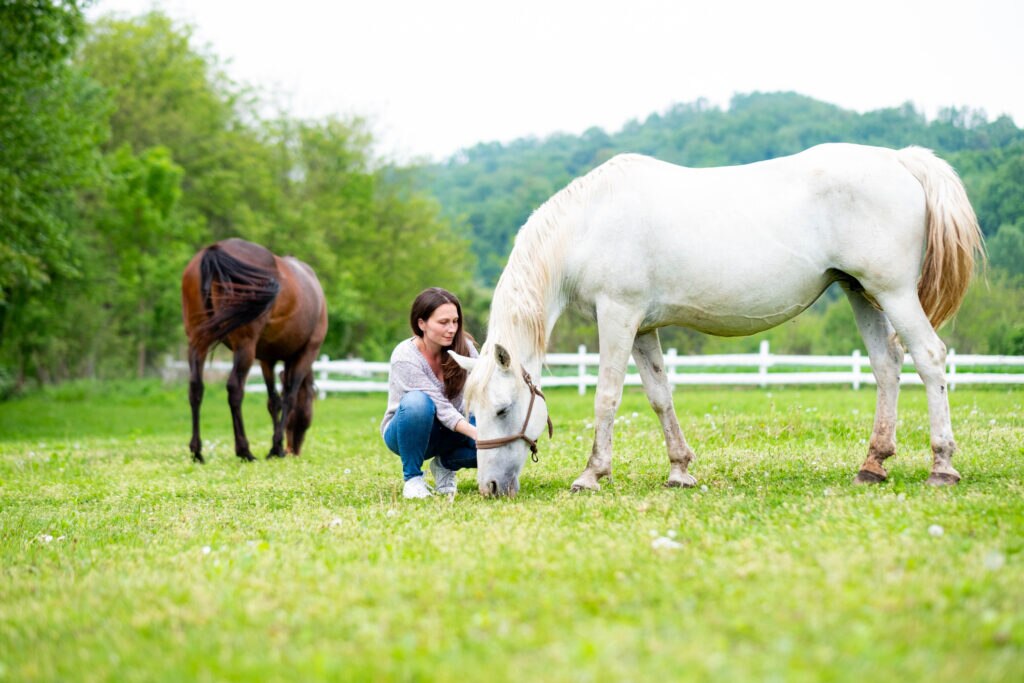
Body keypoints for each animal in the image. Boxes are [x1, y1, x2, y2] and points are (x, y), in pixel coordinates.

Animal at [181, 238, 328, 463]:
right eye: (310, 408)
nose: (293, 450)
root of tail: (215, 249)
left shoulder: (267, 359)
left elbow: (273, 400)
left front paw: (276, 447)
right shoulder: (307, 353)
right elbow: (289, 397)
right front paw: (276, 447)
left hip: (198, 343)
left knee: (196, 388)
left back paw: (197, 451)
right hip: (245, 347)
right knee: (235, 389)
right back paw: (244, 450)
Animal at [450, 144, 984, 497]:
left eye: (502, 409)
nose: (490, 487)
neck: (587, 224)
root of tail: (901, 160)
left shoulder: (618, 316)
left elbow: (607, 396)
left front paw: (591, 474)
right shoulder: (643, 327)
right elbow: (660, 397)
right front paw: (680, 470)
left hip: (894, 293)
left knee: (930, 358)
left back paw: (942, 465)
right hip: (861, 294)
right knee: (887, 367)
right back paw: (873, 464)